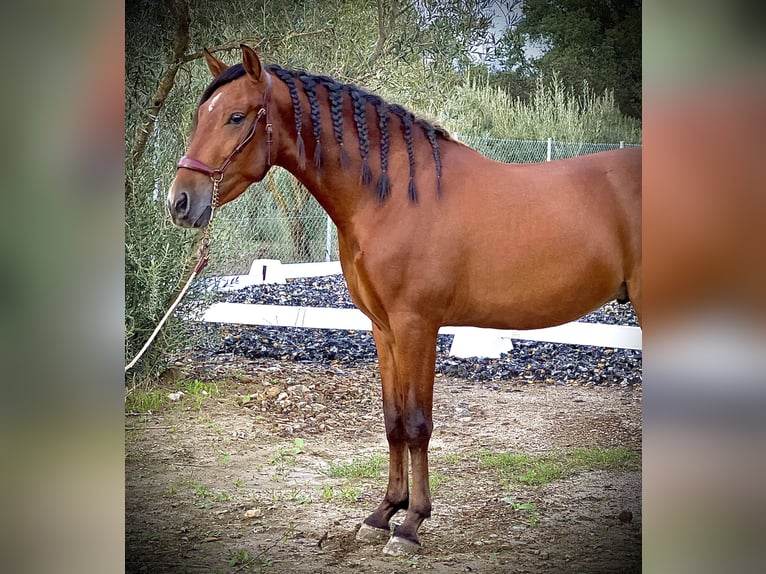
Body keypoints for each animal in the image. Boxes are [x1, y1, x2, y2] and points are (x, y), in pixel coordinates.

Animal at [168, 46, 640, 560]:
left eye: (235, 117)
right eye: (199, 116)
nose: (180, 202)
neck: (391, 195)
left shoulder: (418, 325)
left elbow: (417, 423)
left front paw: (412, 524)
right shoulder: (384, 327)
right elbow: (393, 420)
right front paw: (383, 513)